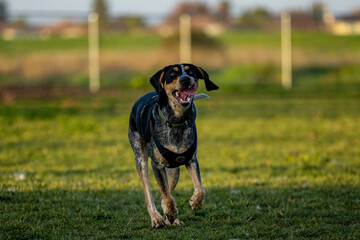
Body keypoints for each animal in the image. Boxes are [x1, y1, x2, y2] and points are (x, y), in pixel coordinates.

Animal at [129, 62, 219, 228]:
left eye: (191, 72)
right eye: (172, 74)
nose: (185, 79)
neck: (177, 121)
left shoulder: (191, 160)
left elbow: (200, 188)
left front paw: (195, 202)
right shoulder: (157, 165)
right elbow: (165, 194)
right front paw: (170, 213)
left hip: (174, 171)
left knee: (164, 195)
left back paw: (172, 219)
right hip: (140, 158)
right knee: (149, 195)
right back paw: (156, 218)